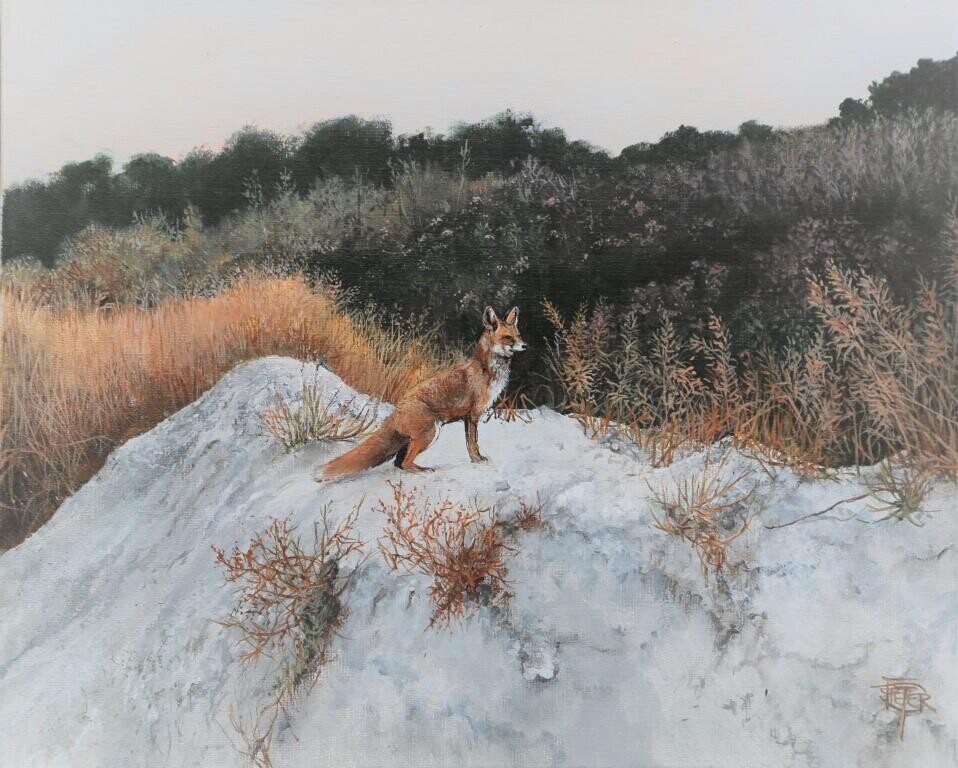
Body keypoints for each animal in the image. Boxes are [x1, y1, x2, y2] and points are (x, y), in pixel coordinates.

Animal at [318, 305, 526, 479]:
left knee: (398, 463)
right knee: (405, 462)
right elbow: (473, 442)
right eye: (508, 338)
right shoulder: (474, 414)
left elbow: (470, 443)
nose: (525, 345)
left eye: (518, 335)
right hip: (430, 432)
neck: (486, 372)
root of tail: (396, 411)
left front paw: (475, 458)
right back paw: (423, 470)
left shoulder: (468, 417)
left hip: (413, 439)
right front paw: (477, 460)